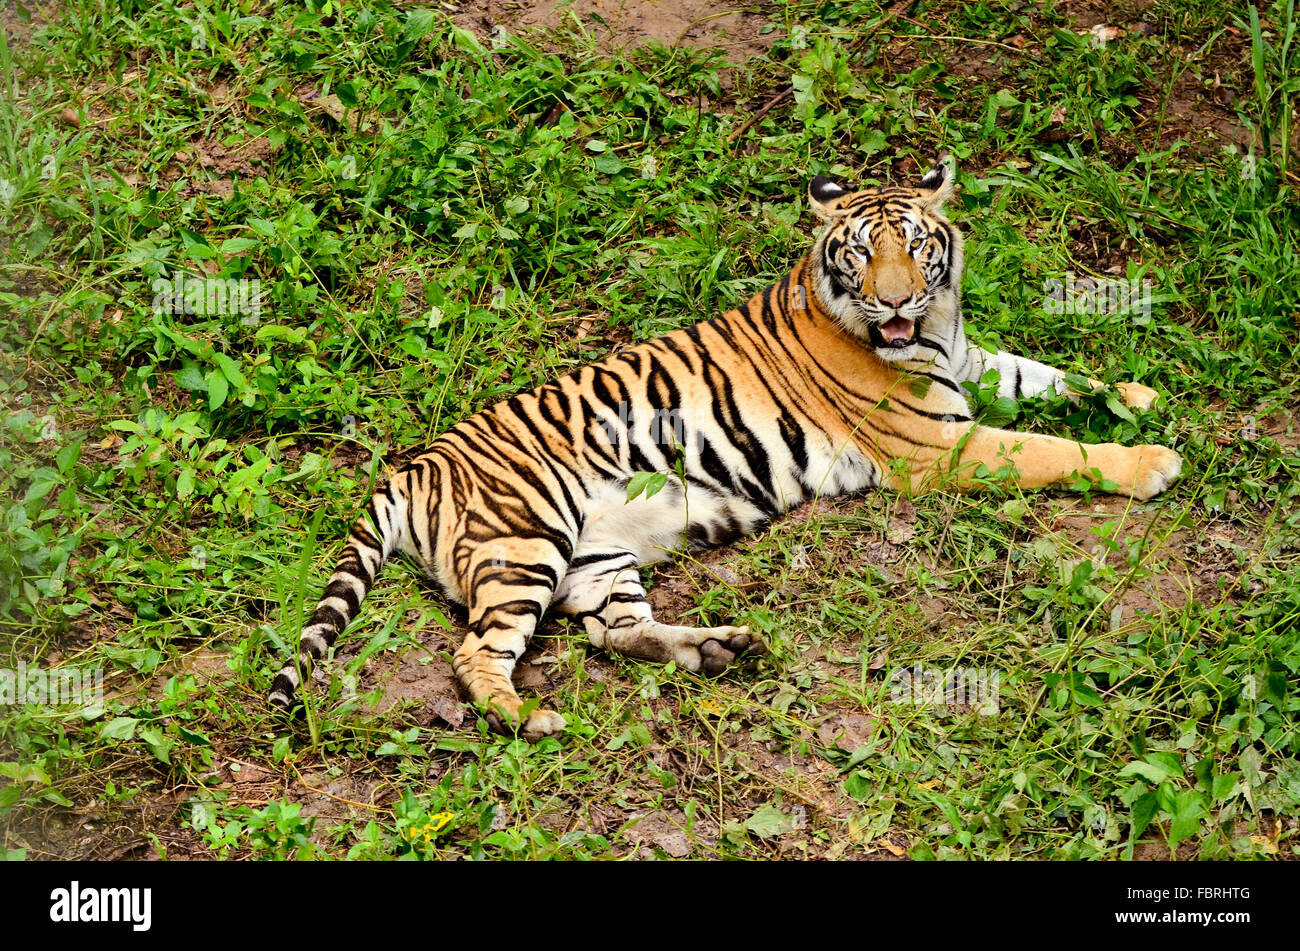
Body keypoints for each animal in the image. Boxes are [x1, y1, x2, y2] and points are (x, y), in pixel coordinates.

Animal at [267, 156, 1182, 739]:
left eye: (918, 245)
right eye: (861, 251)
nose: (894, 301)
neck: (933, 332)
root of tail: (414, 463)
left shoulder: (971, 363)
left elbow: (1050, 375)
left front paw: (1140, 396)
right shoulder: (936, 445)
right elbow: (1050, 446)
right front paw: (1152, 461)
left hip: (596, 559)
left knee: (615, 631)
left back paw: (715, 647)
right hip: (525, 542)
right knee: (476, 653)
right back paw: (533, 717)